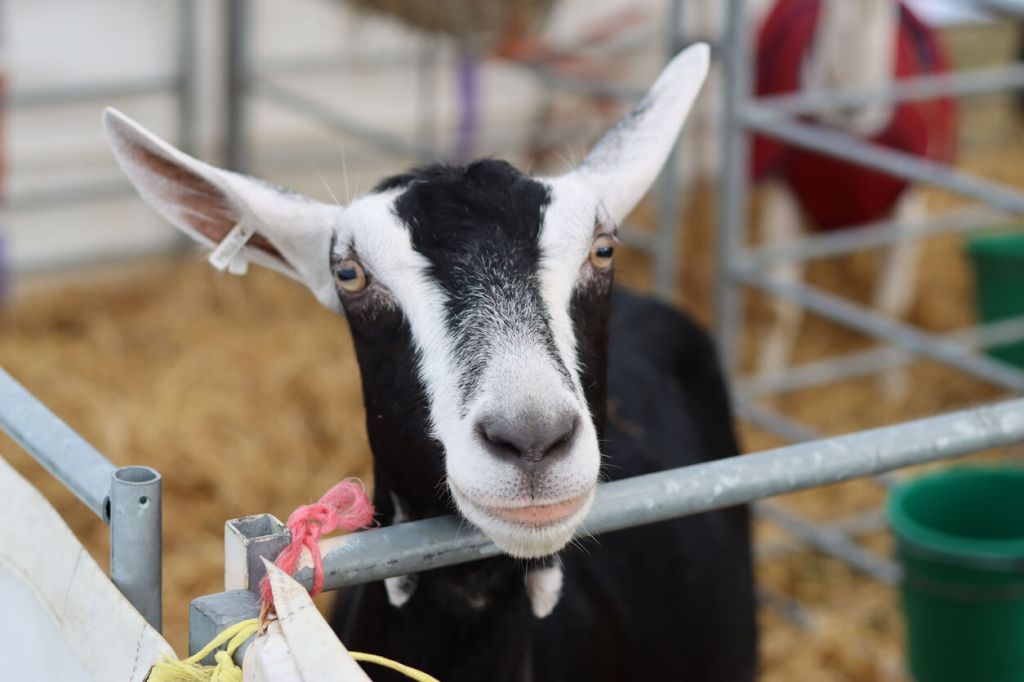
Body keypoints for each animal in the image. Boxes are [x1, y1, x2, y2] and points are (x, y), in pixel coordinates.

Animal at [753, 0, 957, 383]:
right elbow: (781, 310)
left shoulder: (905, 203)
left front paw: (891, 386)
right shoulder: (782, 194)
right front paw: (769, 382)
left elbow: (887, 306)